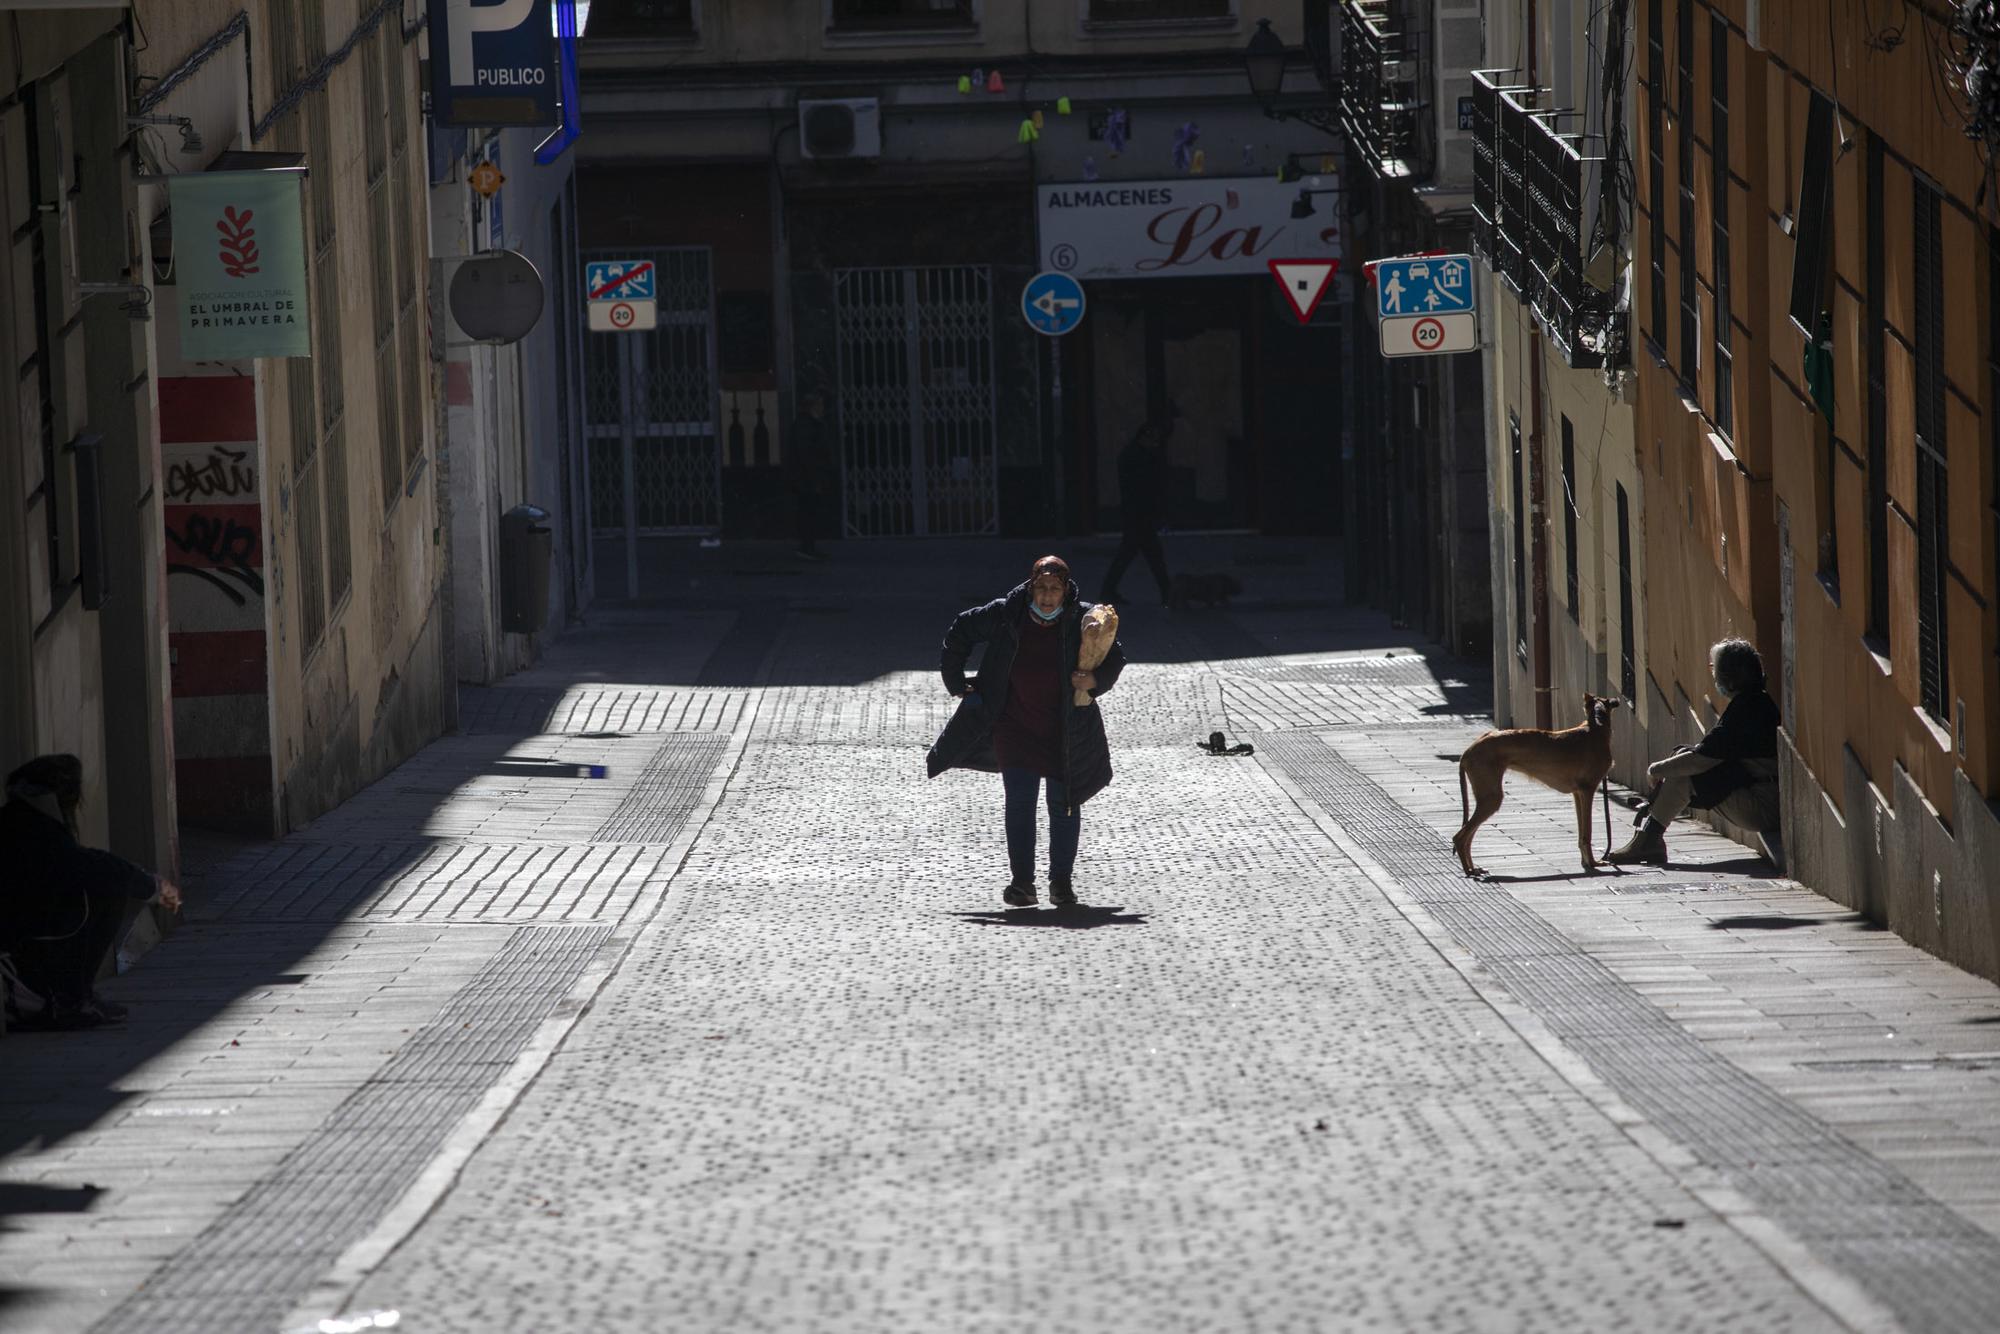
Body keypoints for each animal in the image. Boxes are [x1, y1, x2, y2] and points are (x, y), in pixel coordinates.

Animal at [1456, 696, 1624, 880]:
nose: (1617, 700)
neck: (1595, 727)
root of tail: (1467, 751)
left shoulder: (1578, 794)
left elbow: (1581, 834)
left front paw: (1586, 862)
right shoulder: (1588, 790)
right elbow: (1587, 833)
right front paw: (1593, 863)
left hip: (1487, 798)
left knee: (1467, 836)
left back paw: (1473, 869)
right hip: (1491, 798)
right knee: (1460, 837)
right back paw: (1468, 870)